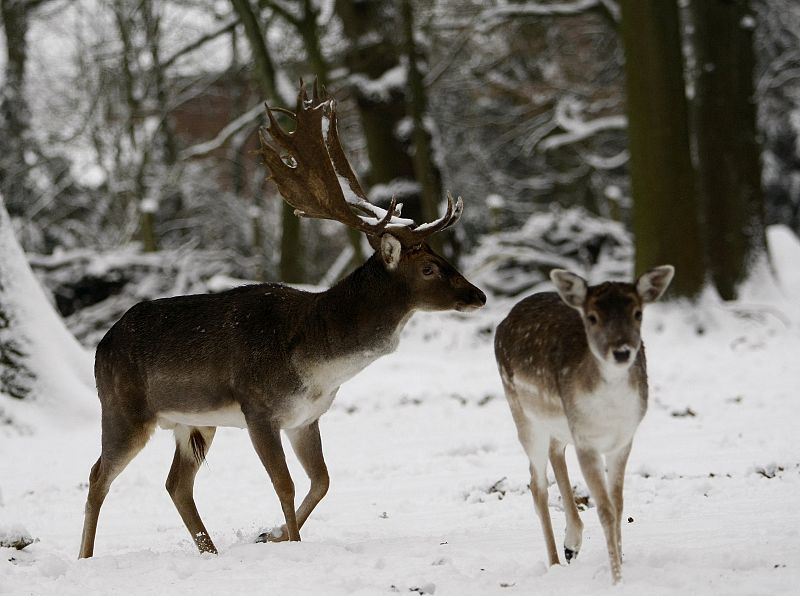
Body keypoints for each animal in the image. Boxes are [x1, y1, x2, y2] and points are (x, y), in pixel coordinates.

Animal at [78, 82, 484, 560]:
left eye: (440, 257)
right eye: (428, 268)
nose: (478, 296)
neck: (317, 361)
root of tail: (100, 345)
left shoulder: (307, 417)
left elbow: (321, 481)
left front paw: (271, 534)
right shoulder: (258, 409)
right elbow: (284, 484)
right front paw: (290, 541)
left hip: (194, 422)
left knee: (176, 484)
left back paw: (210, 551)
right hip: (123, 409)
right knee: (97, 475)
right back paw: (85, 557)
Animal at [494, 266, 676, 584]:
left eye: (638, 313)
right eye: (592, 317)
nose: (622, 351)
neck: (609, 412)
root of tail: (504, 318)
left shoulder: (623, 440)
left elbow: (618, 504)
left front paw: (621, 563)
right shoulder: (586, 442)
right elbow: (605, 509)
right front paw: (616, 579)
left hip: (560, 422)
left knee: (555, 452)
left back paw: (572, 544)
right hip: (522, 413)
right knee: (536, 483)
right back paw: (555, 563)